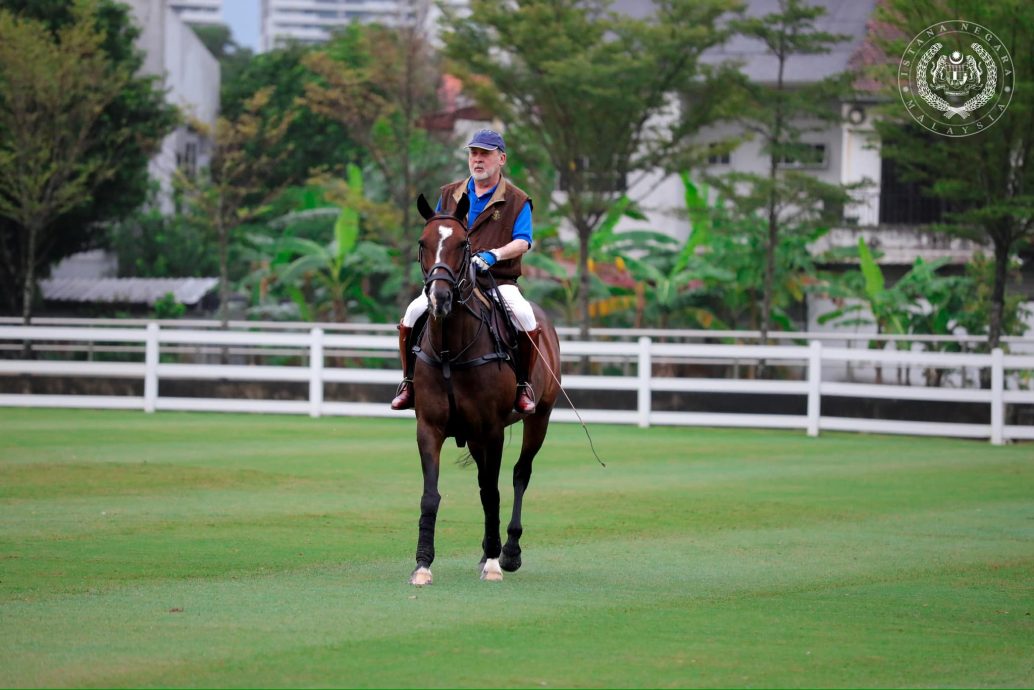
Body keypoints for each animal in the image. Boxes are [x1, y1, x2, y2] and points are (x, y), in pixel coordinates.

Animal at [407, 194, 562, 587]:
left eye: (464, 245)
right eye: (422, 243)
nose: (440, 298)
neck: (451, 348)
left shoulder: (492, 429)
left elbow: (493, 492)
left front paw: (494, 563)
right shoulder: (429, 428)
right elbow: (431, 495)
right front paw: (422, 564)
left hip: (539, 417)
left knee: (520, 474)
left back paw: (508, 552)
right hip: (476, 438)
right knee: (484, 481)